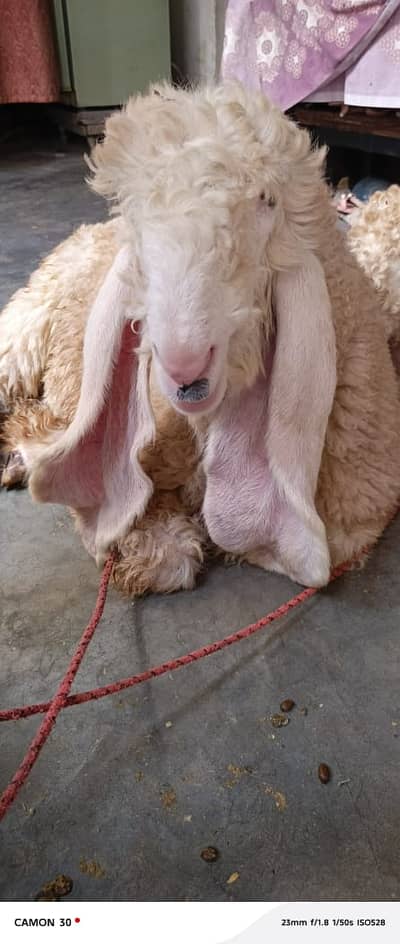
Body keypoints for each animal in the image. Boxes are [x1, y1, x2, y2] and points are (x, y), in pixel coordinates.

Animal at [1, 81, 400, 595]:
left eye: (266, 200)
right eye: (136, 221)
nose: (182, 366)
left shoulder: (355, 513)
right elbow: (160, 550)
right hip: (25, 327)